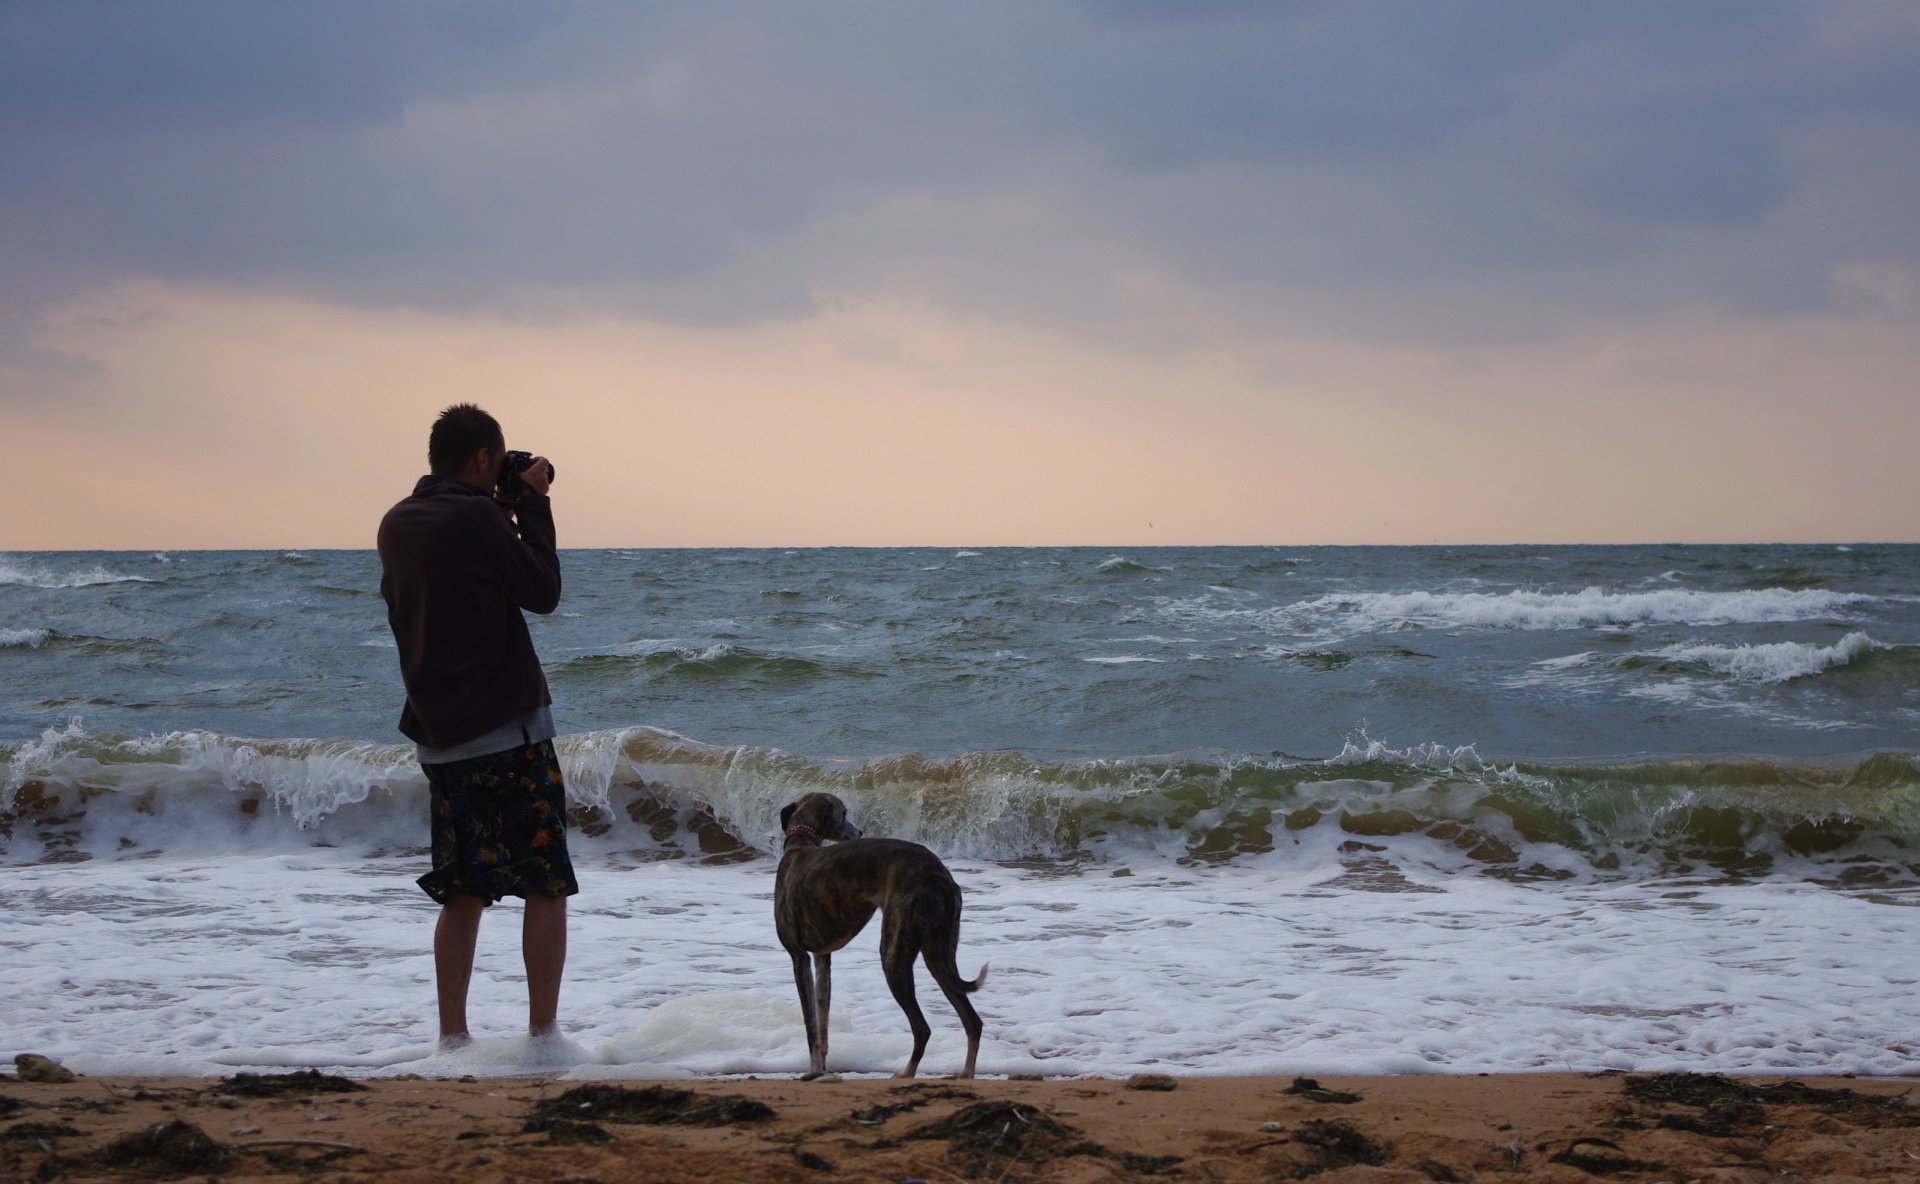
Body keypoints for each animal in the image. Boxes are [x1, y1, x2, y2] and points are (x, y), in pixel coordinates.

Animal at [775, 790, 990, 1074]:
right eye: (844, 813)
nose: (859, 832)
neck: (799, 844)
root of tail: (940, 873)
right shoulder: (822, 960)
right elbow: (822, 1023)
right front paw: (821, 1070)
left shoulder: (799, 958)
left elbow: (810, 1026)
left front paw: (812, 1073)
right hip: (940, 956)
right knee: (972, 1020)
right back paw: (965, 1074)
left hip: (894, 953)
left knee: (922, 1028)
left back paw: (906, 1073)